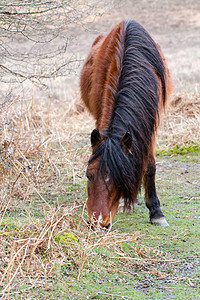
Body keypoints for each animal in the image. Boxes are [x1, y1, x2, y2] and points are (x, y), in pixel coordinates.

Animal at [79, 18, 172, 230]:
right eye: (88, 175)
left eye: (119, 179)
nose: (98, 223)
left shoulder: (150, 127)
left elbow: (150, 166)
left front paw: (156, 212)